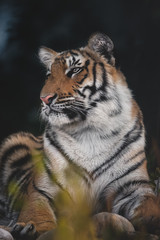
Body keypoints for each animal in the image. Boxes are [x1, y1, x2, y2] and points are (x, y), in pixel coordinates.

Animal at [0, 32, 160, 240]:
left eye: (74, 70)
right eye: (49, 75)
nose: (44, 99)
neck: (89, 130)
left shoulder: (133, 188)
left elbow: (150, 205)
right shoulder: (42, 190)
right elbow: (37, 213)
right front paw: (31, 227)